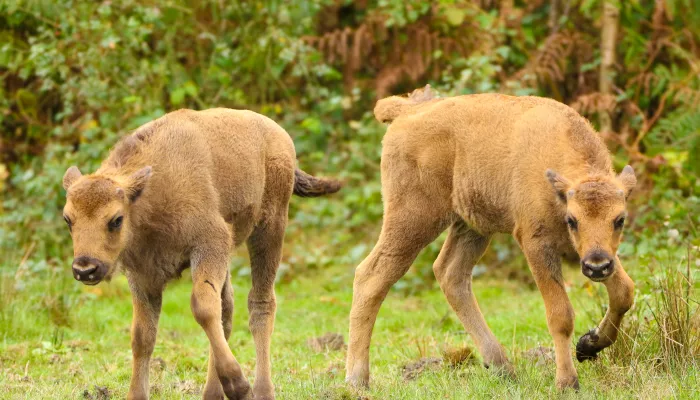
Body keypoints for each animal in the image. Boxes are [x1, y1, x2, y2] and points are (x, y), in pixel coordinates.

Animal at [61, 108, 340, 398]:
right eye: (68, 219)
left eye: (116, 220)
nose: (85, 269)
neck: (149, 194)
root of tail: (279, 134)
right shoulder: (143, 275)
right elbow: (142, 335)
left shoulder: (210, 244)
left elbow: (203, 308)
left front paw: (239, 386)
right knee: (227, 310)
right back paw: (213, 393)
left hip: (270, 228)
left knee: (260, 304)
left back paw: (261, 390)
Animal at [348, 86, 636, 390]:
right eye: (573, 220)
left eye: (620, 219)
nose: (596, 266)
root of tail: (408, 110)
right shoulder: (536, 243)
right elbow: (560, 315)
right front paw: (567, 382)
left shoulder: (601, 254)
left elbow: (624, 292)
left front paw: (589, 345)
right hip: (413, 219)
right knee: (371, 277)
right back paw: (357, 379)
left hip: (471, 227)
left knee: (450, 274)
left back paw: (501, 366)